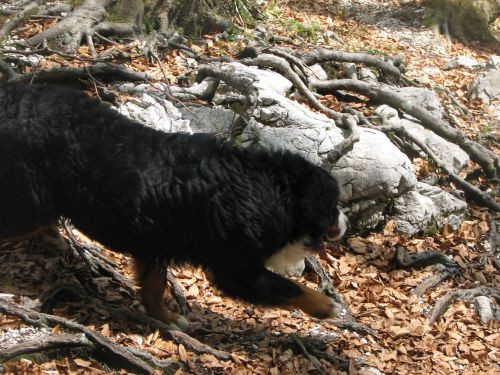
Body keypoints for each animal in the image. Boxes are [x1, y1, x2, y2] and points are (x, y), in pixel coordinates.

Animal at [0, 81, 346, 330]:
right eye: (333, 206)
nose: (344, 223)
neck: (268, 189)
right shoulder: (235, 268)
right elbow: (290, 288)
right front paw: (326, 306)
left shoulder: (156, 241)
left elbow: (154, 287)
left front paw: (165, 319)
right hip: (25, 203)